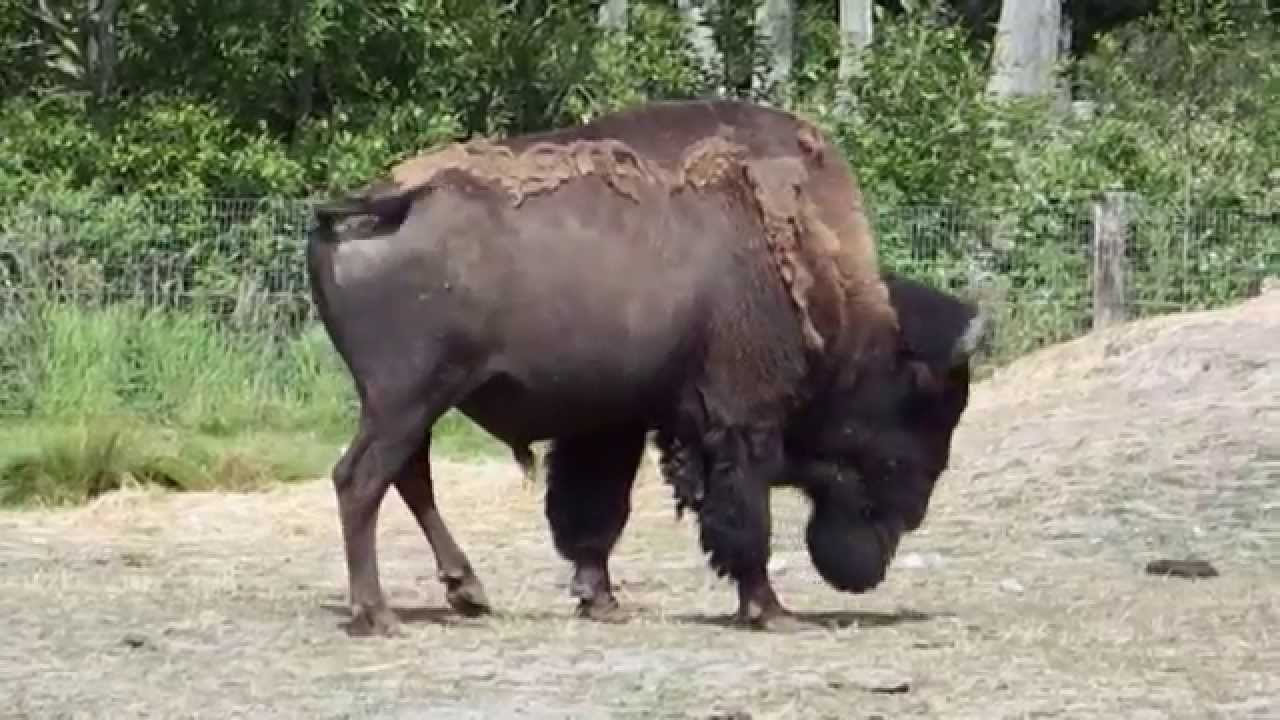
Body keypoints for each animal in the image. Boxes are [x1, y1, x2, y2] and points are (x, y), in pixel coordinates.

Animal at [306, 98, 988, 636]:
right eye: (921, 420)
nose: (873, 564)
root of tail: (378, 201)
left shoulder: (613, 423)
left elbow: (595, 511)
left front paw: (600, 600)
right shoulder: (741, 419)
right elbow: (744, 516)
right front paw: (769, 611)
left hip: (408, 404)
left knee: (406, 477)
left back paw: (465, 590)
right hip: (407, 398)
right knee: (359, 481)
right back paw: (378, 614)